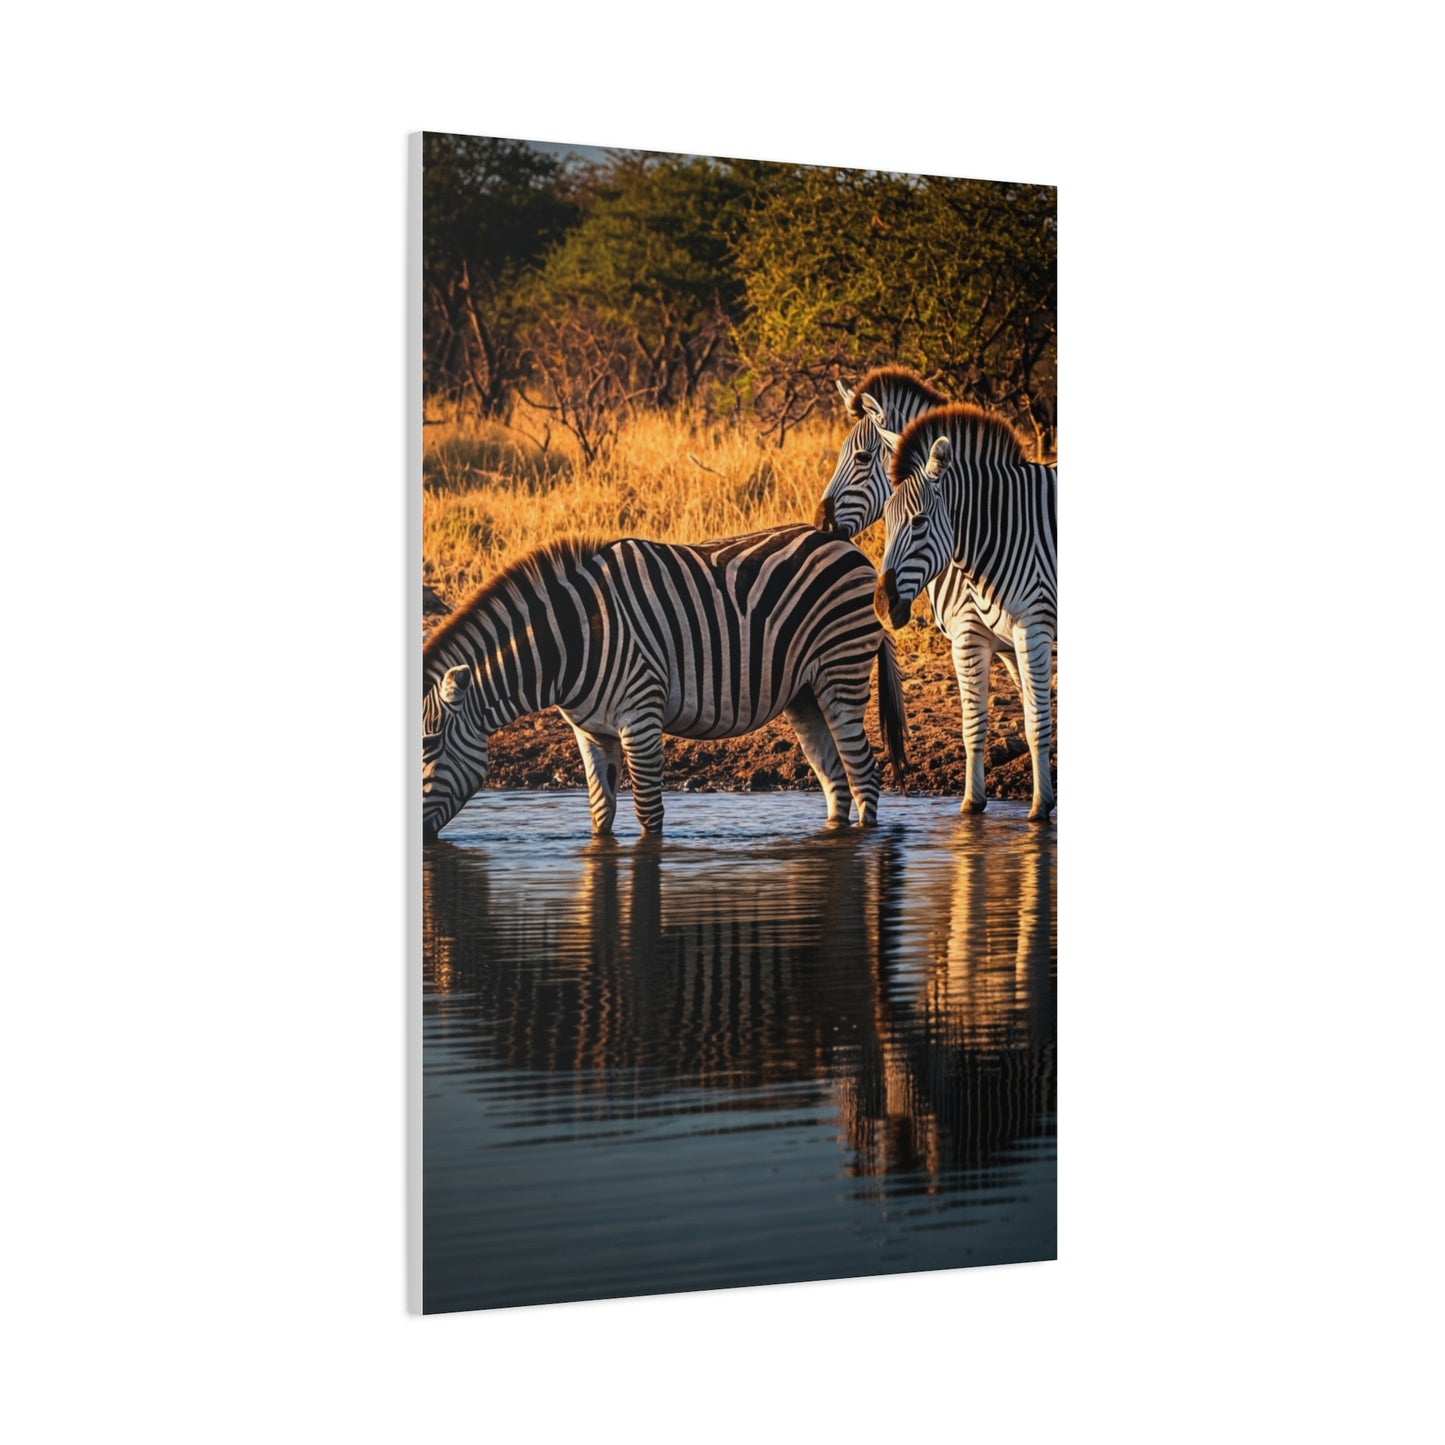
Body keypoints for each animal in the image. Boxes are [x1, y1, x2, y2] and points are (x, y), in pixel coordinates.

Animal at [423, 524, 908, 840]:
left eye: (430, 746)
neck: (572, 641)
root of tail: (848, 545)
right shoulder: (590, 730)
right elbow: (601, 810)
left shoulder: (640, 715)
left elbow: (648, 811)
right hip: (804, 694)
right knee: (834, 778)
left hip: (841, 671)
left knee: (863, 772)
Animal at [871, 401, 1057, 821]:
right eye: (886, 520)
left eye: (919, 521)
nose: (882, 606)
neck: (1006, 529)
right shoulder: (989, 639)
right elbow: (976, 722)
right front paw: (972, 803)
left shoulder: (1031, 629)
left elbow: (1037, 721)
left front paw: (1040, 807)